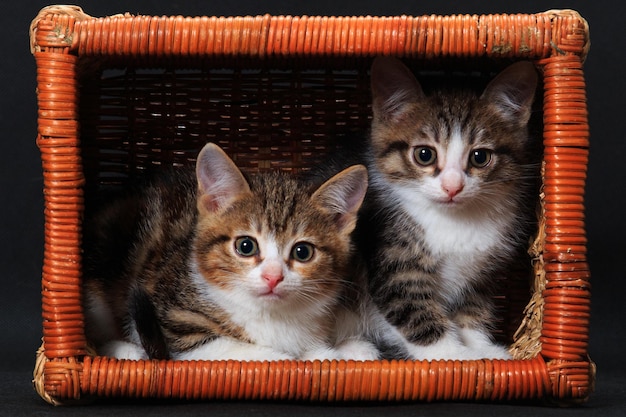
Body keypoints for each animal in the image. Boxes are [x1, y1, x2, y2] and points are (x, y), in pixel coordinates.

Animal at [80, 141, 378, 360]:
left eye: (302, 252)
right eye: (246, 246)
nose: (273, 277)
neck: (270, 315)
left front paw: (350, 348)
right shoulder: (173, 325)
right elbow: (245, 351)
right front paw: (311, 356)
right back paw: (124, 351)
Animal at [358, 57, 540, 360]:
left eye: (480, 157)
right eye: (424, 154)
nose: (452, 187)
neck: (455, 220)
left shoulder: (482, 274)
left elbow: (473, 308)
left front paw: (482, 349)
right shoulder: (395, 264)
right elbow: (415, 311)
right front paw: (458, 357)